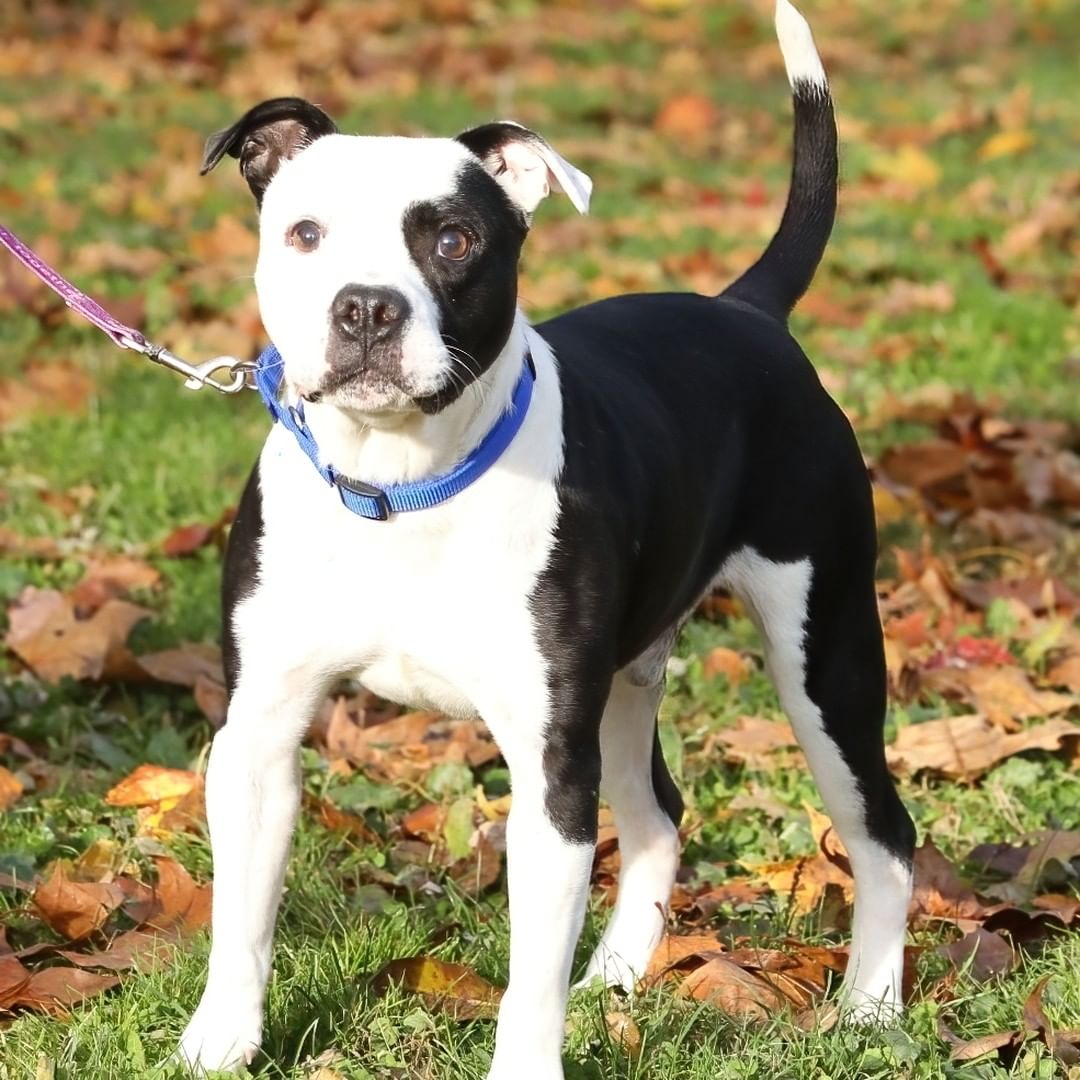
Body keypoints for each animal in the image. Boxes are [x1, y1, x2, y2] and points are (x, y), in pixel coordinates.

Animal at [174, 4, 911, 1075]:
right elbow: (242, 918)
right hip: (627, 682)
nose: (366, 307)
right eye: (304, 233)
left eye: (453, 238)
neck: (401, 485)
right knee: (657, 817)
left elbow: (529, 974)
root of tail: (746, 311)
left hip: (828, 658)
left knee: (882, 829)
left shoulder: (550, 770)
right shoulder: (258, 732)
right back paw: (616, 978)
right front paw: (220, 1042)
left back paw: (870, 1011)